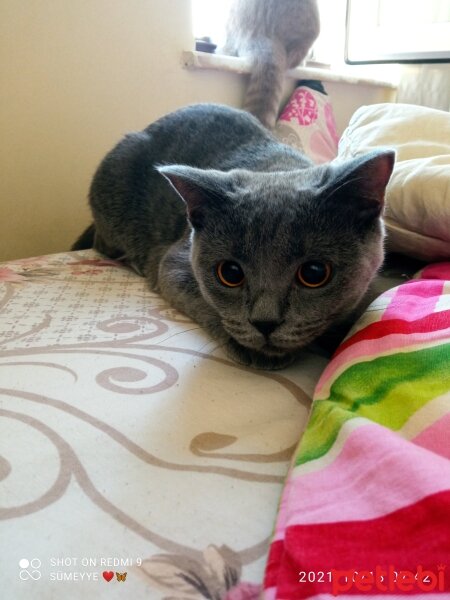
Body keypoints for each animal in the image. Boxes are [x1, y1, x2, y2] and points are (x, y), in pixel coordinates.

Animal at [74, 105, 394, 372]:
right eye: (230, 273)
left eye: (315, 273)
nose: (265, 322)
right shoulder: (172, 263)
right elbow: (206, 305)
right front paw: (251, 348)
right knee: (103, 243)